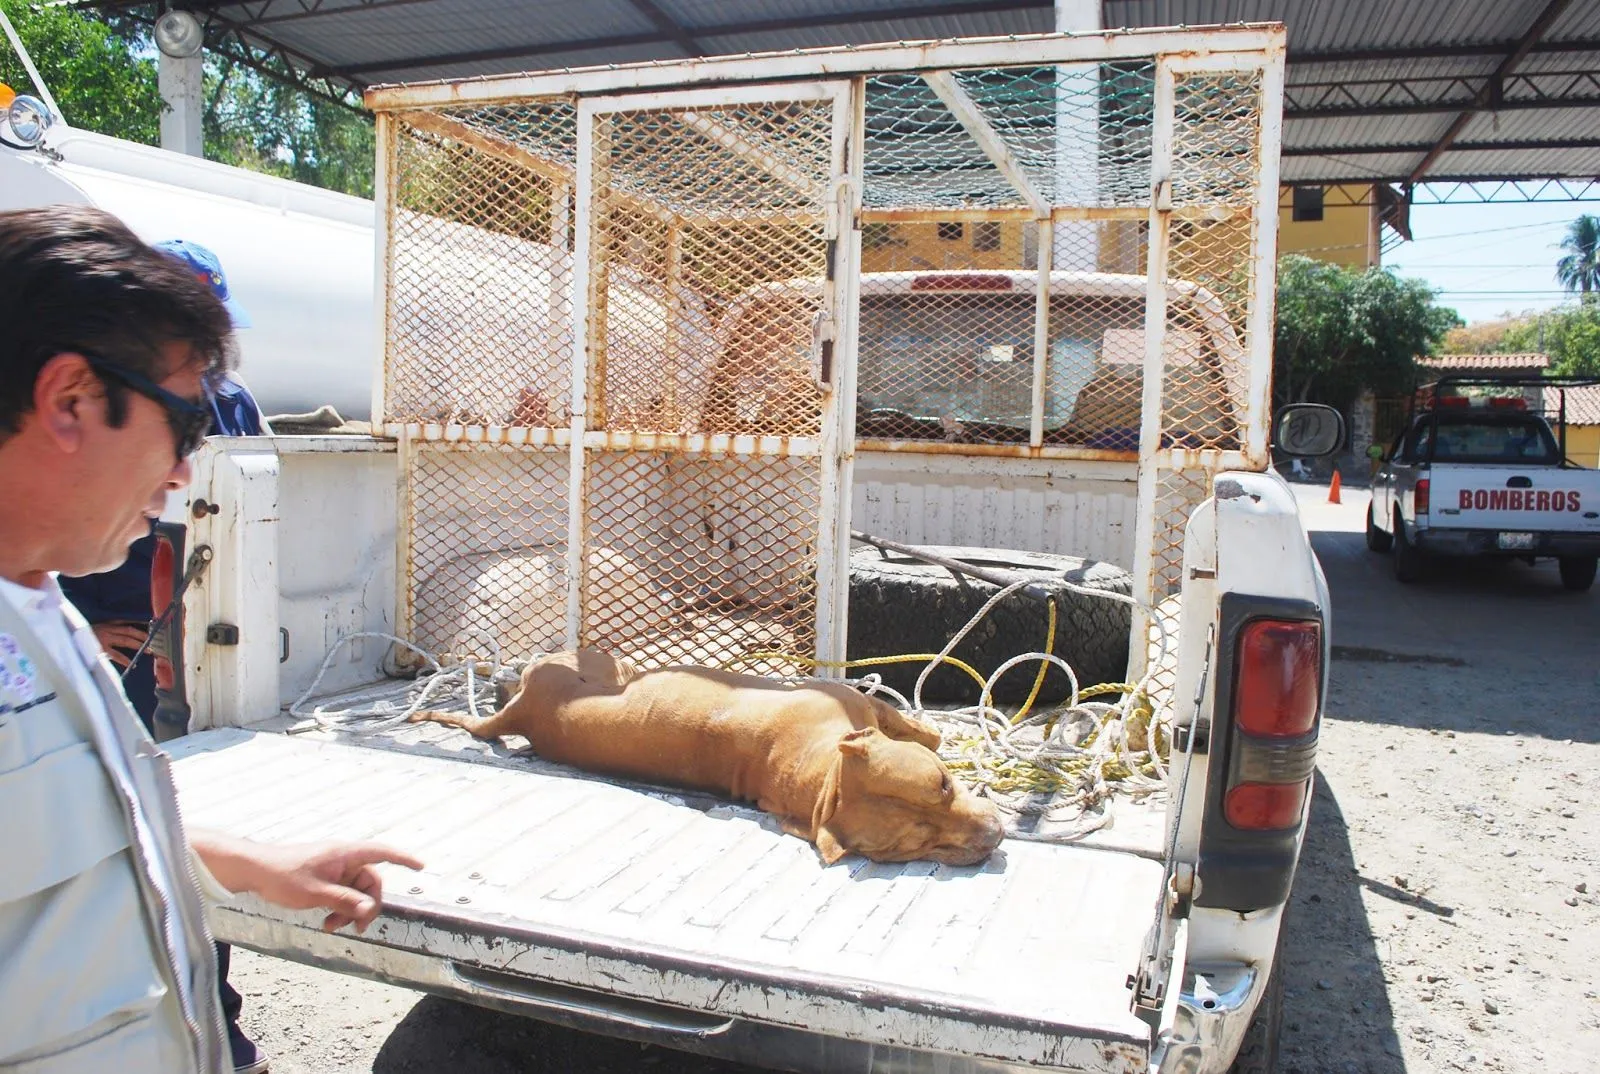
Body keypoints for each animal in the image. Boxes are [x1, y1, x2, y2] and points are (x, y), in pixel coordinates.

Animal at [409, 646, 998, 864]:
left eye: (944, 786)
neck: (820, 778)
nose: (994, 835)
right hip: (602, 662)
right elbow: (929, 735)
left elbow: (926, 737)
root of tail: (527, 715)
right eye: (915, 846)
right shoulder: (861, 703)